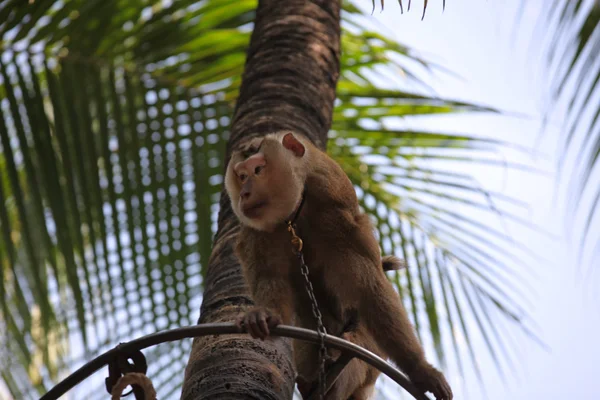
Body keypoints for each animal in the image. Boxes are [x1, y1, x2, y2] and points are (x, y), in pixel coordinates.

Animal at [225, 133, 450, 400]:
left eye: (257, 170)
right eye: (241, 176)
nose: (244, 194)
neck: (295, 211)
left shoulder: (333, 207)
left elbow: (369, 288)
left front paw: (420, 369)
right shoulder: (258, 230)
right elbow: (270, 276)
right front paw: (265, 314)